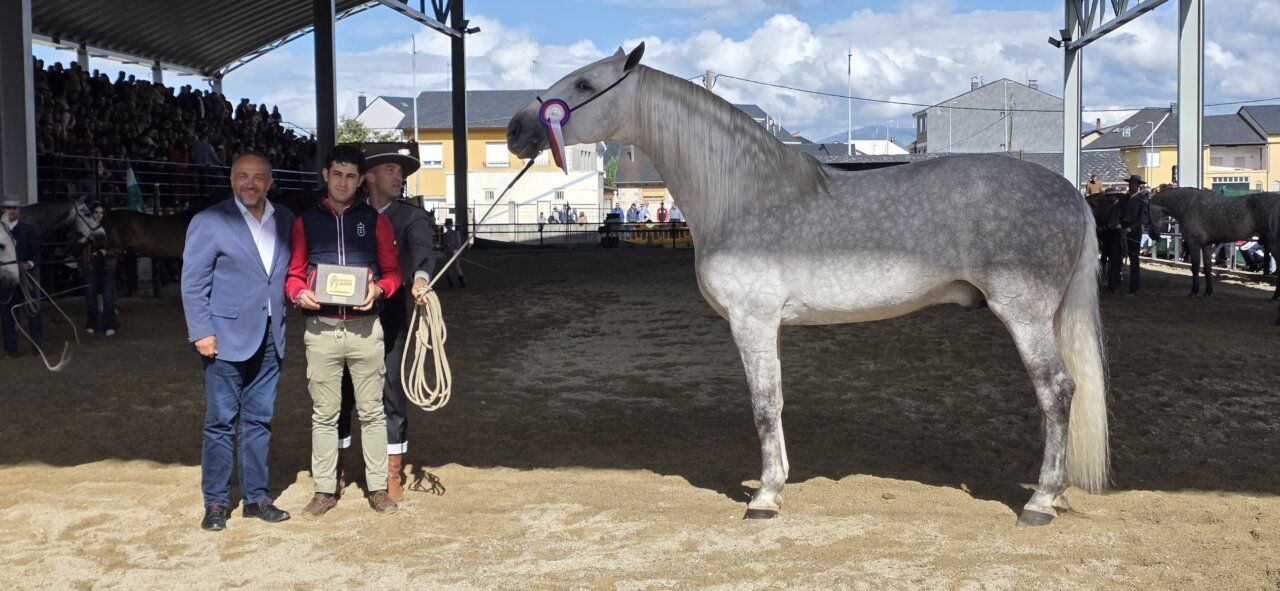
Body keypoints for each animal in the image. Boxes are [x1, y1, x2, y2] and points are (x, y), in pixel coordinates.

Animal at [506, 45, 1108, 526]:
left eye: (585, 85)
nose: (516, 130)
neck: (742, 193)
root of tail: (1070, 194)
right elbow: (772, 400)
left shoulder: (752, 320)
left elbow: (764, 403)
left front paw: (765, 496)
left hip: (1024, 312)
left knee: (1057, 391)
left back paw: (1040, 502)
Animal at [1148, 188, 1280, 298]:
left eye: (1147, 211)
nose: (1152, 235)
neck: (1188, 205)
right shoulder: (1206, 244)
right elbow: (1207, 268)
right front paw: (1207, 292)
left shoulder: (1193, 243)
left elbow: (1195, 267)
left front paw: (1194, 291)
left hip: (1273, 244)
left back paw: (1274, 297)